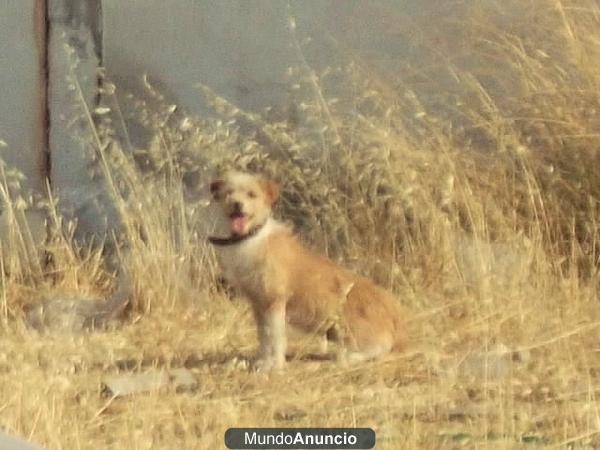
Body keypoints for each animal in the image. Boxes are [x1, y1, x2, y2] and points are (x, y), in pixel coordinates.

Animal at [209, 171, 406, 370]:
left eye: (251, 194)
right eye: (229, 193)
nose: (236, 204)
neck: (252, 237)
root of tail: (395, 316)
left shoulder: (275, 301)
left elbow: (275, 338)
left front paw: (275, 365)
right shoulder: (259, 303)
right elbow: (264, 338)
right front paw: (263, 362)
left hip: (348, 327)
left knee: (379, 347)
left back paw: (348, 357)